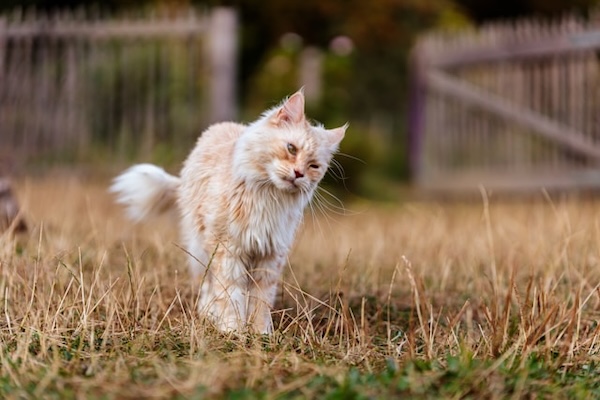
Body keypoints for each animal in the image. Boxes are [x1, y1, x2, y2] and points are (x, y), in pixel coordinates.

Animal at [111, 90, 346, 334]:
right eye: (291, 148)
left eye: (314, 166)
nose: (299, 174)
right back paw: (208, 314)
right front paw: (232, 330)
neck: (268, 197)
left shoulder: (270, 256)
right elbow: (230, 295)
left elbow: (261, 300)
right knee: (207, 285)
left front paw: (260, 333)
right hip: (200, 248)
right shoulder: (228, 250)